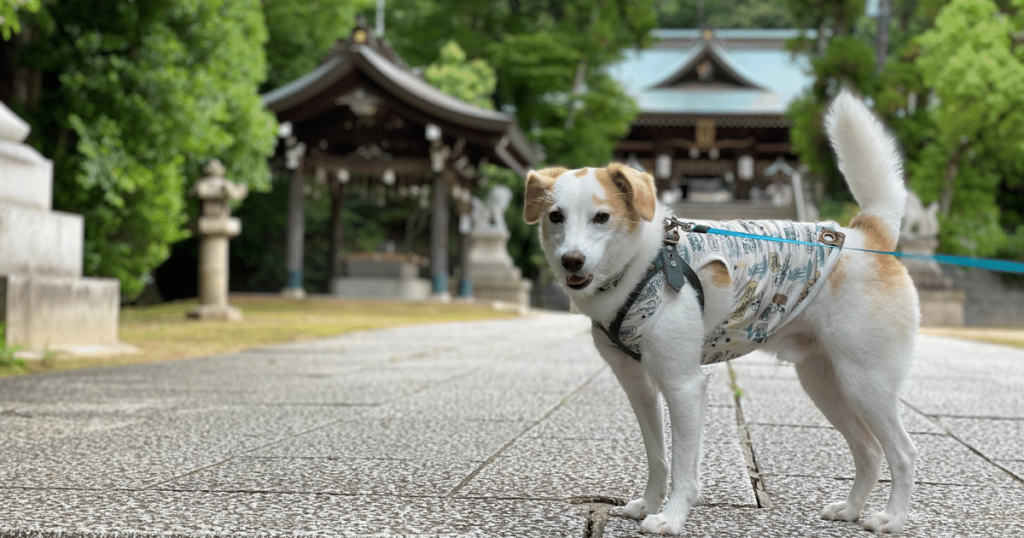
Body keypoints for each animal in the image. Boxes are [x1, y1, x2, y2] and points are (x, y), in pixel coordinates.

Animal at [524, 92, 917, 532]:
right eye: (555, 216)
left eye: (601, 217)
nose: (571, 261)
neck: (642, 264)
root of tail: (868, 233)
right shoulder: (638, 386)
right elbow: (658, 457)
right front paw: (649, 503)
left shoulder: (684, 385)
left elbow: (682, 465)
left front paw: (671, 517)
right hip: (826, 384)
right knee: (868, 449)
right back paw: (850, 509)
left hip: (867, 383)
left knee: (902, 452)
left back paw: (892, 518)